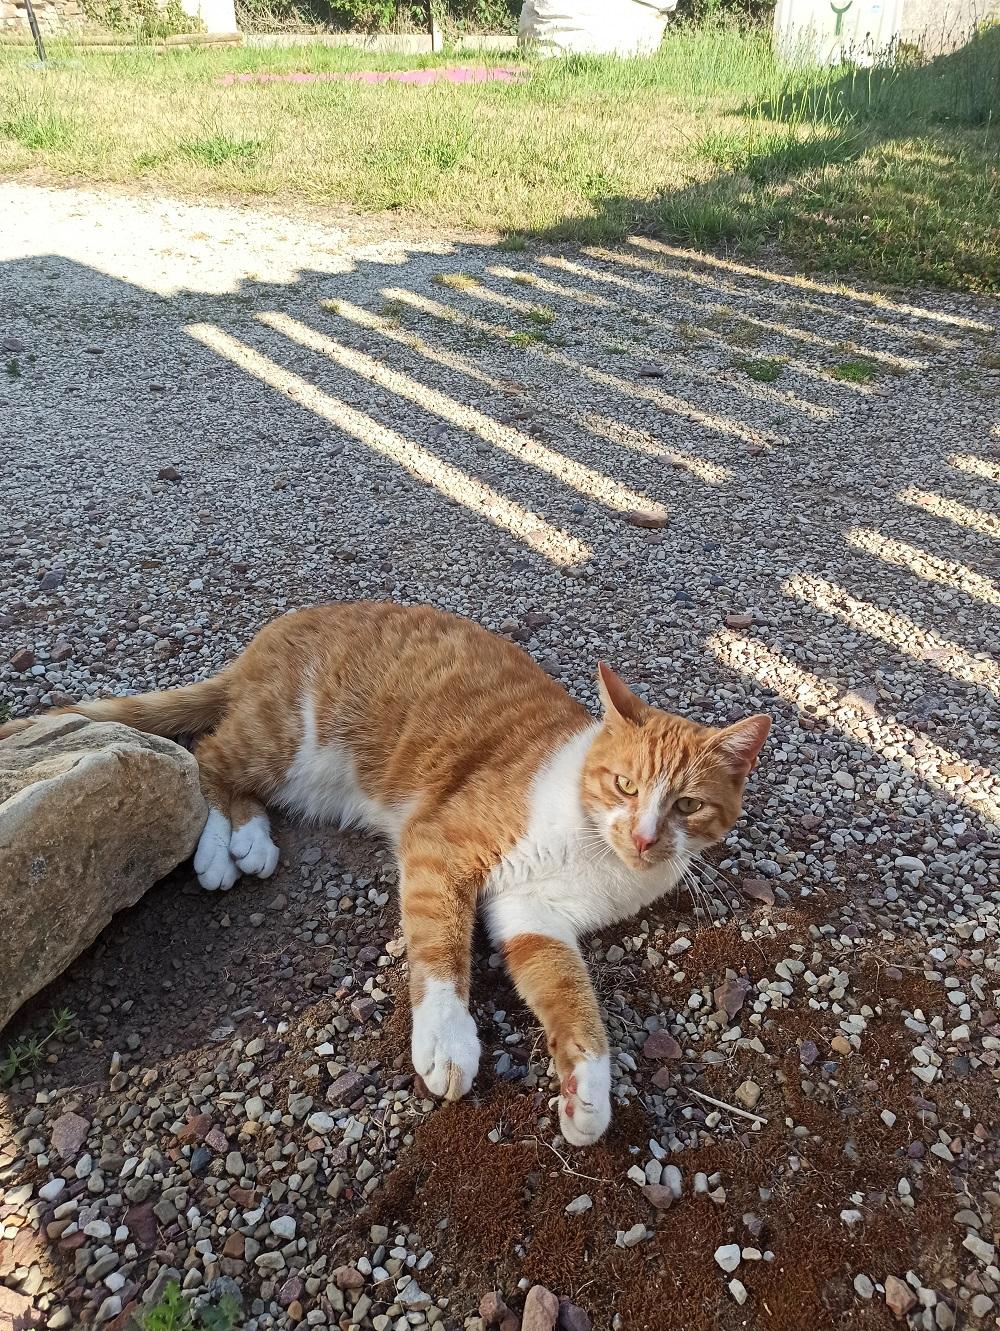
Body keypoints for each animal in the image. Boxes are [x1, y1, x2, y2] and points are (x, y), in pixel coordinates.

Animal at [0, 604, 772, 1144]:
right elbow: (440, 954)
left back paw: (241, 837)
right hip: (288, 738)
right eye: (623, 785)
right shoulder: (440, 848)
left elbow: (570, 996)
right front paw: (447, 1041)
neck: (593, 849)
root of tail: (266, 640)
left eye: (687, 805)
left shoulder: (535, 919)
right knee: (209, 756)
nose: (644, 836)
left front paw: (587, 1090)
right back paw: (227, 846)